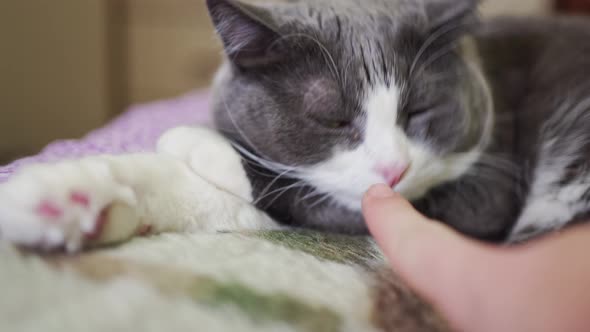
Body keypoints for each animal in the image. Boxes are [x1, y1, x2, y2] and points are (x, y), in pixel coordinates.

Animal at [1, 0, 590, 250]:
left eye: (419, 111)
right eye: (332, 118)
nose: (394, 170)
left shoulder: (485, 190)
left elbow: (301, 194)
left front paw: (195, 139)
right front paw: (68, 198)